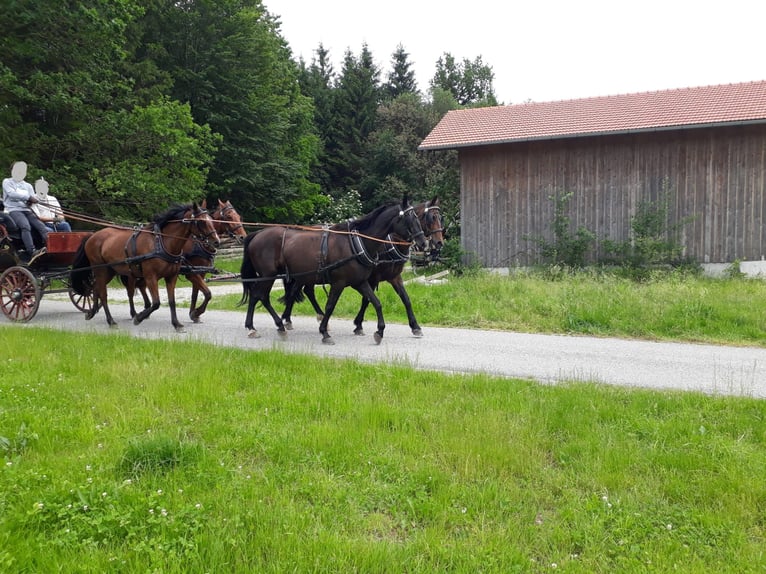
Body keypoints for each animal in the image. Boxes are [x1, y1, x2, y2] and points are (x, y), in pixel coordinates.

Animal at [69, 202, 220, 332]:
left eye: (212, 220)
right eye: (201, 221)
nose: (216, 241)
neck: (163, 242)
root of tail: (92, 236)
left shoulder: (172, 277)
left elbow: (172, 301)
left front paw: (177, 323)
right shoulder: (152, 276)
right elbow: (156, 303)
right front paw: (139, 318)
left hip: (110, 271)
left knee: (96, 289)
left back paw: (91, 312)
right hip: (100, 269)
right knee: (103, 293)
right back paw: (111, 321)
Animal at [239, 195, 427, 344]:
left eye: (419, 218)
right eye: (410, 218)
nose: (424, 243)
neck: (356, 244)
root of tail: (257, 234)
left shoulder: (361, 282)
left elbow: (377, 302)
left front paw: (380, 331)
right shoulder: (340, 282)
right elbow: (331, 305)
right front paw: (325, 333)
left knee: (261, 296)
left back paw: (268, 326)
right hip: (268, 275)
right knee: (260, 296)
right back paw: (261, 327)